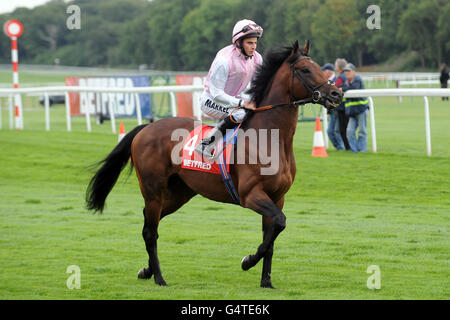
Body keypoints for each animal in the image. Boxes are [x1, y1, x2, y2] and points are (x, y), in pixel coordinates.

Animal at [86, 39, 342, 288]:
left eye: (320, 67)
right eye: (306, 69)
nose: (336, 94)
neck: (270, 138)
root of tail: (145, 128)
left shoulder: (277, 197)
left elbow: (272, 236)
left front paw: (266, 282)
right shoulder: (250, 194)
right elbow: (279, 223)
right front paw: (247, 261)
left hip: (179, 193)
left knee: (149, 223)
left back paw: (146, 271)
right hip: (153, 190)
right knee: (151, 232)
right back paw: (159, 278)